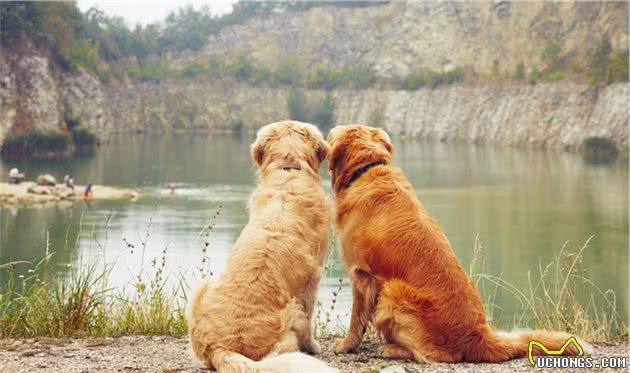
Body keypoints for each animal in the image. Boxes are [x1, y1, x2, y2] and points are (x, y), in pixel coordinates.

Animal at [186, 120, 338, 370]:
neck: (289, 171)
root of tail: (220, 347)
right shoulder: (312, 278)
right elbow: (309, 317)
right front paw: (313, 346)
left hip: (202, 290)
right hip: (291, 313)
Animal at [328, 124, 592, 360]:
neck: (366, 171)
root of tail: (479, 335)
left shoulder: (361, 274)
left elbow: (356, 319)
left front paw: (346, 345)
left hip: (393, 293)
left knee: (438, 355)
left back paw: (393, 349)